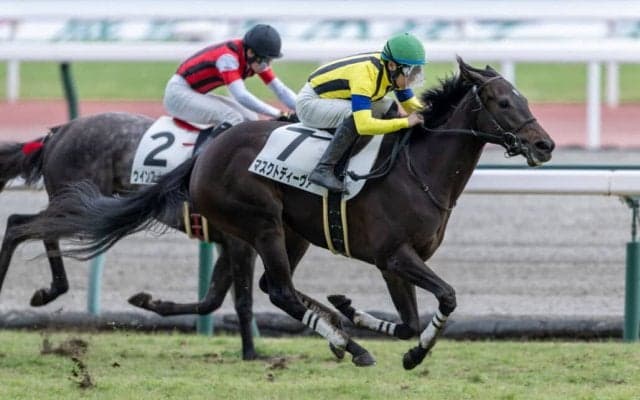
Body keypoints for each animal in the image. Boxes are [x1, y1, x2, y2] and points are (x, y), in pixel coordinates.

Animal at [13, 57, 555, 369]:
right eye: (502, 101)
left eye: (524, 97)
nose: (544, 144)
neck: (416, 169)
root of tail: (203, 157)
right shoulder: (393, 255)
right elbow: (447, 298)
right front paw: (407, 350)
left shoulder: (395, 263)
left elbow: (406, 319)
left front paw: (359, 314)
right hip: (262, 223)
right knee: (281, 292)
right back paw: (350, 346)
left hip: (291, 233)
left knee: (277, 287)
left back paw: (340, 331)